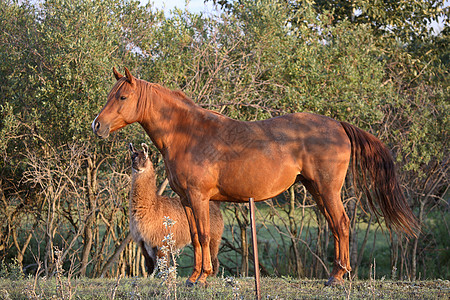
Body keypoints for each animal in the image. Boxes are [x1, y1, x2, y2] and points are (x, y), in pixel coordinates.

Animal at [93, 67, 420, 286]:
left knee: (341, 223)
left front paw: (202, 278)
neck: (187, 133)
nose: (97, 125)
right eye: (109, 95)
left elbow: (203, 235)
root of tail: (338, 124)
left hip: (327, 189)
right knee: (335, 225)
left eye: (122, 96)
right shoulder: (187, 199)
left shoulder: (199, 197)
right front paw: (196, 277)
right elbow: (197, 237)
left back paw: (338, 276)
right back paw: (336, 273)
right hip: (317, 190)